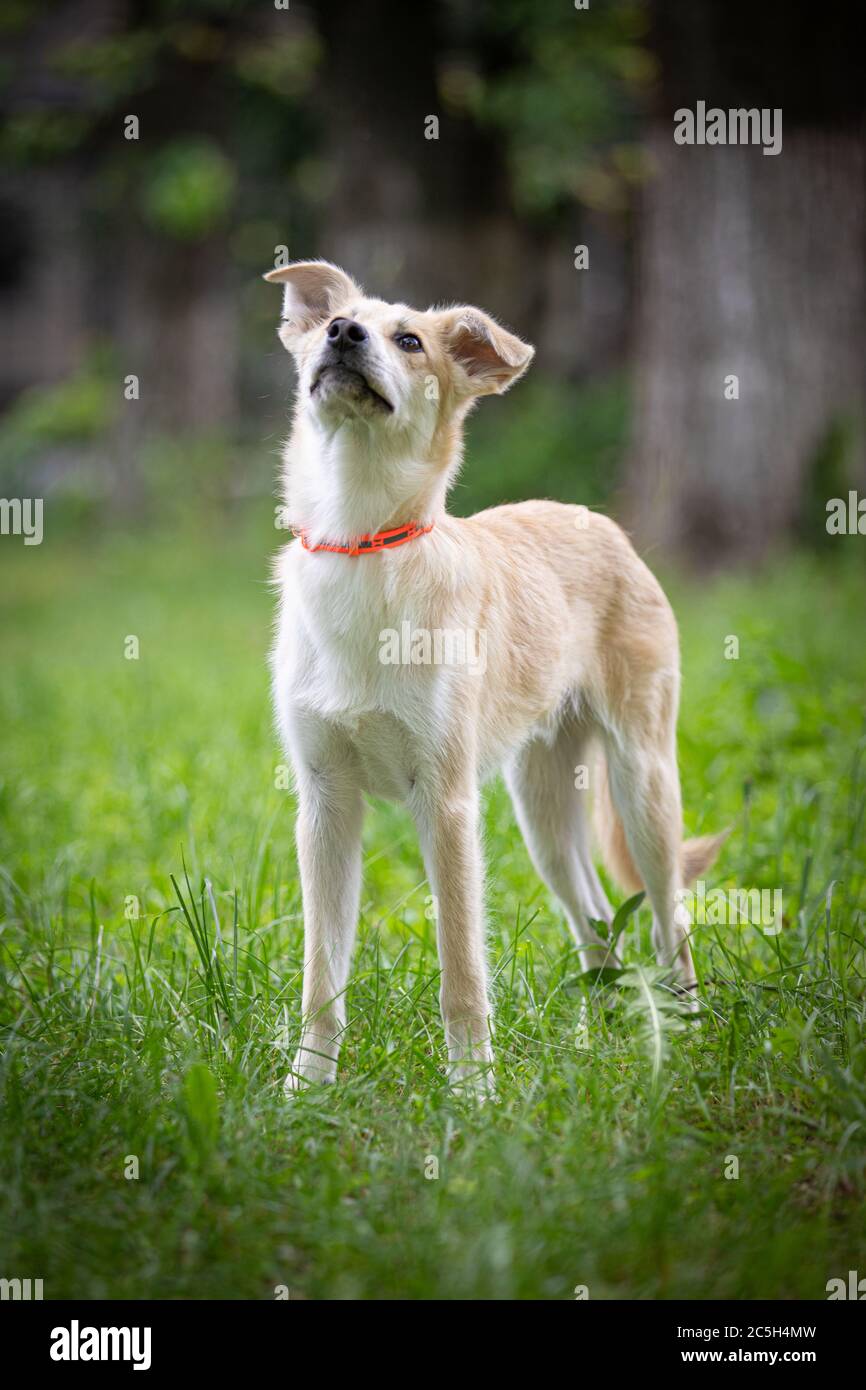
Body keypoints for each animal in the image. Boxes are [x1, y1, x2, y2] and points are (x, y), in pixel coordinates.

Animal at [264, 255, 722, 1089]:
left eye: (410, 340)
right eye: (332, 325)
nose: (342, 334)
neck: (363, 542)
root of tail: (597, 519)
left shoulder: (445, 804)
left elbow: (461, 970)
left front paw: (472, 1091)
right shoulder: (324, 807)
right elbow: (322, 977)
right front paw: (305, 1088)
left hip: (642, 785)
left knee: (670, 915)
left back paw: (688, 1029)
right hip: (543, 809)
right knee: (596, 918)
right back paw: (599, 1033)